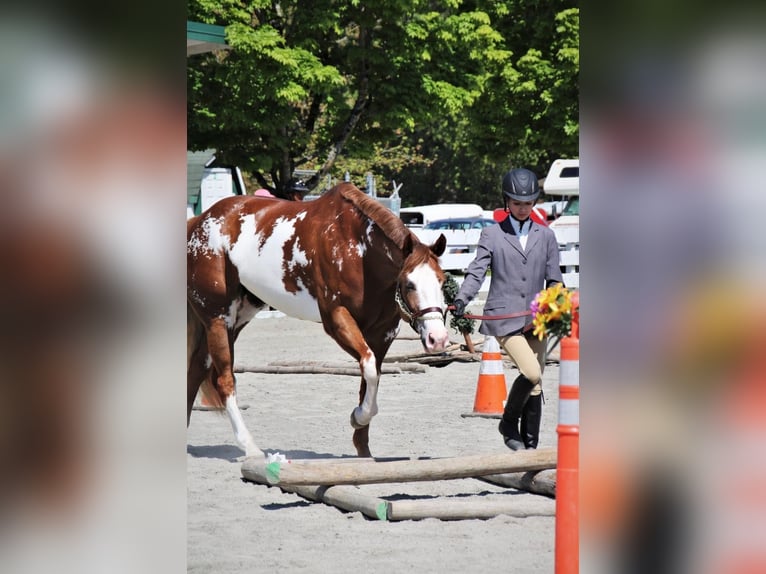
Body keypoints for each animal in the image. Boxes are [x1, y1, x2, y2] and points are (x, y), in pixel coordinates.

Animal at [187, 182, 449, 458]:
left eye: (443, 281)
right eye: (409, 284)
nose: (438, 339)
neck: (358, 251)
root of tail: (198, 222)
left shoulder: (382, 333)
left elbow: (371, 377)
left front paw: (363, 446)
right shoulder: (337, 319)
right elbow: (368, 367)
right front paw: (359, 417)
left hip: (236, 319)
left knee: (196, 370)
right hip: (218, 319)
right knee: (224, 380)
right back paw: (250, 447)